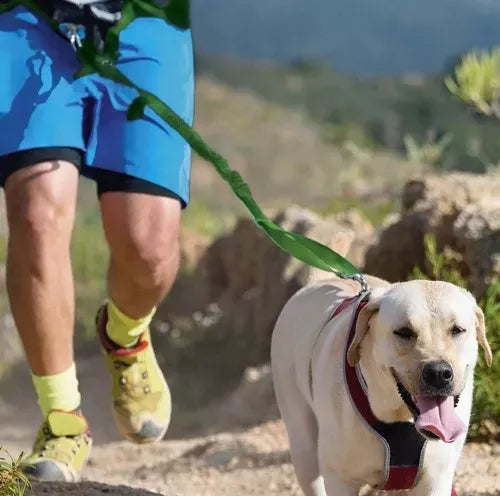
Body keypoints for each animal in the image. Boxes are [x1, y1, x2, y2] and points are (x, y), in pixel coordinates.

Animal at [272, 276, 490, 496]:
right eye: (404, 332)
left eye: (457, 330)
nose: (438, 373)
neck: (400, 418)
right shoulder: (340, 479)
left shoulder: (436, 479)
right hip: (304, 451)